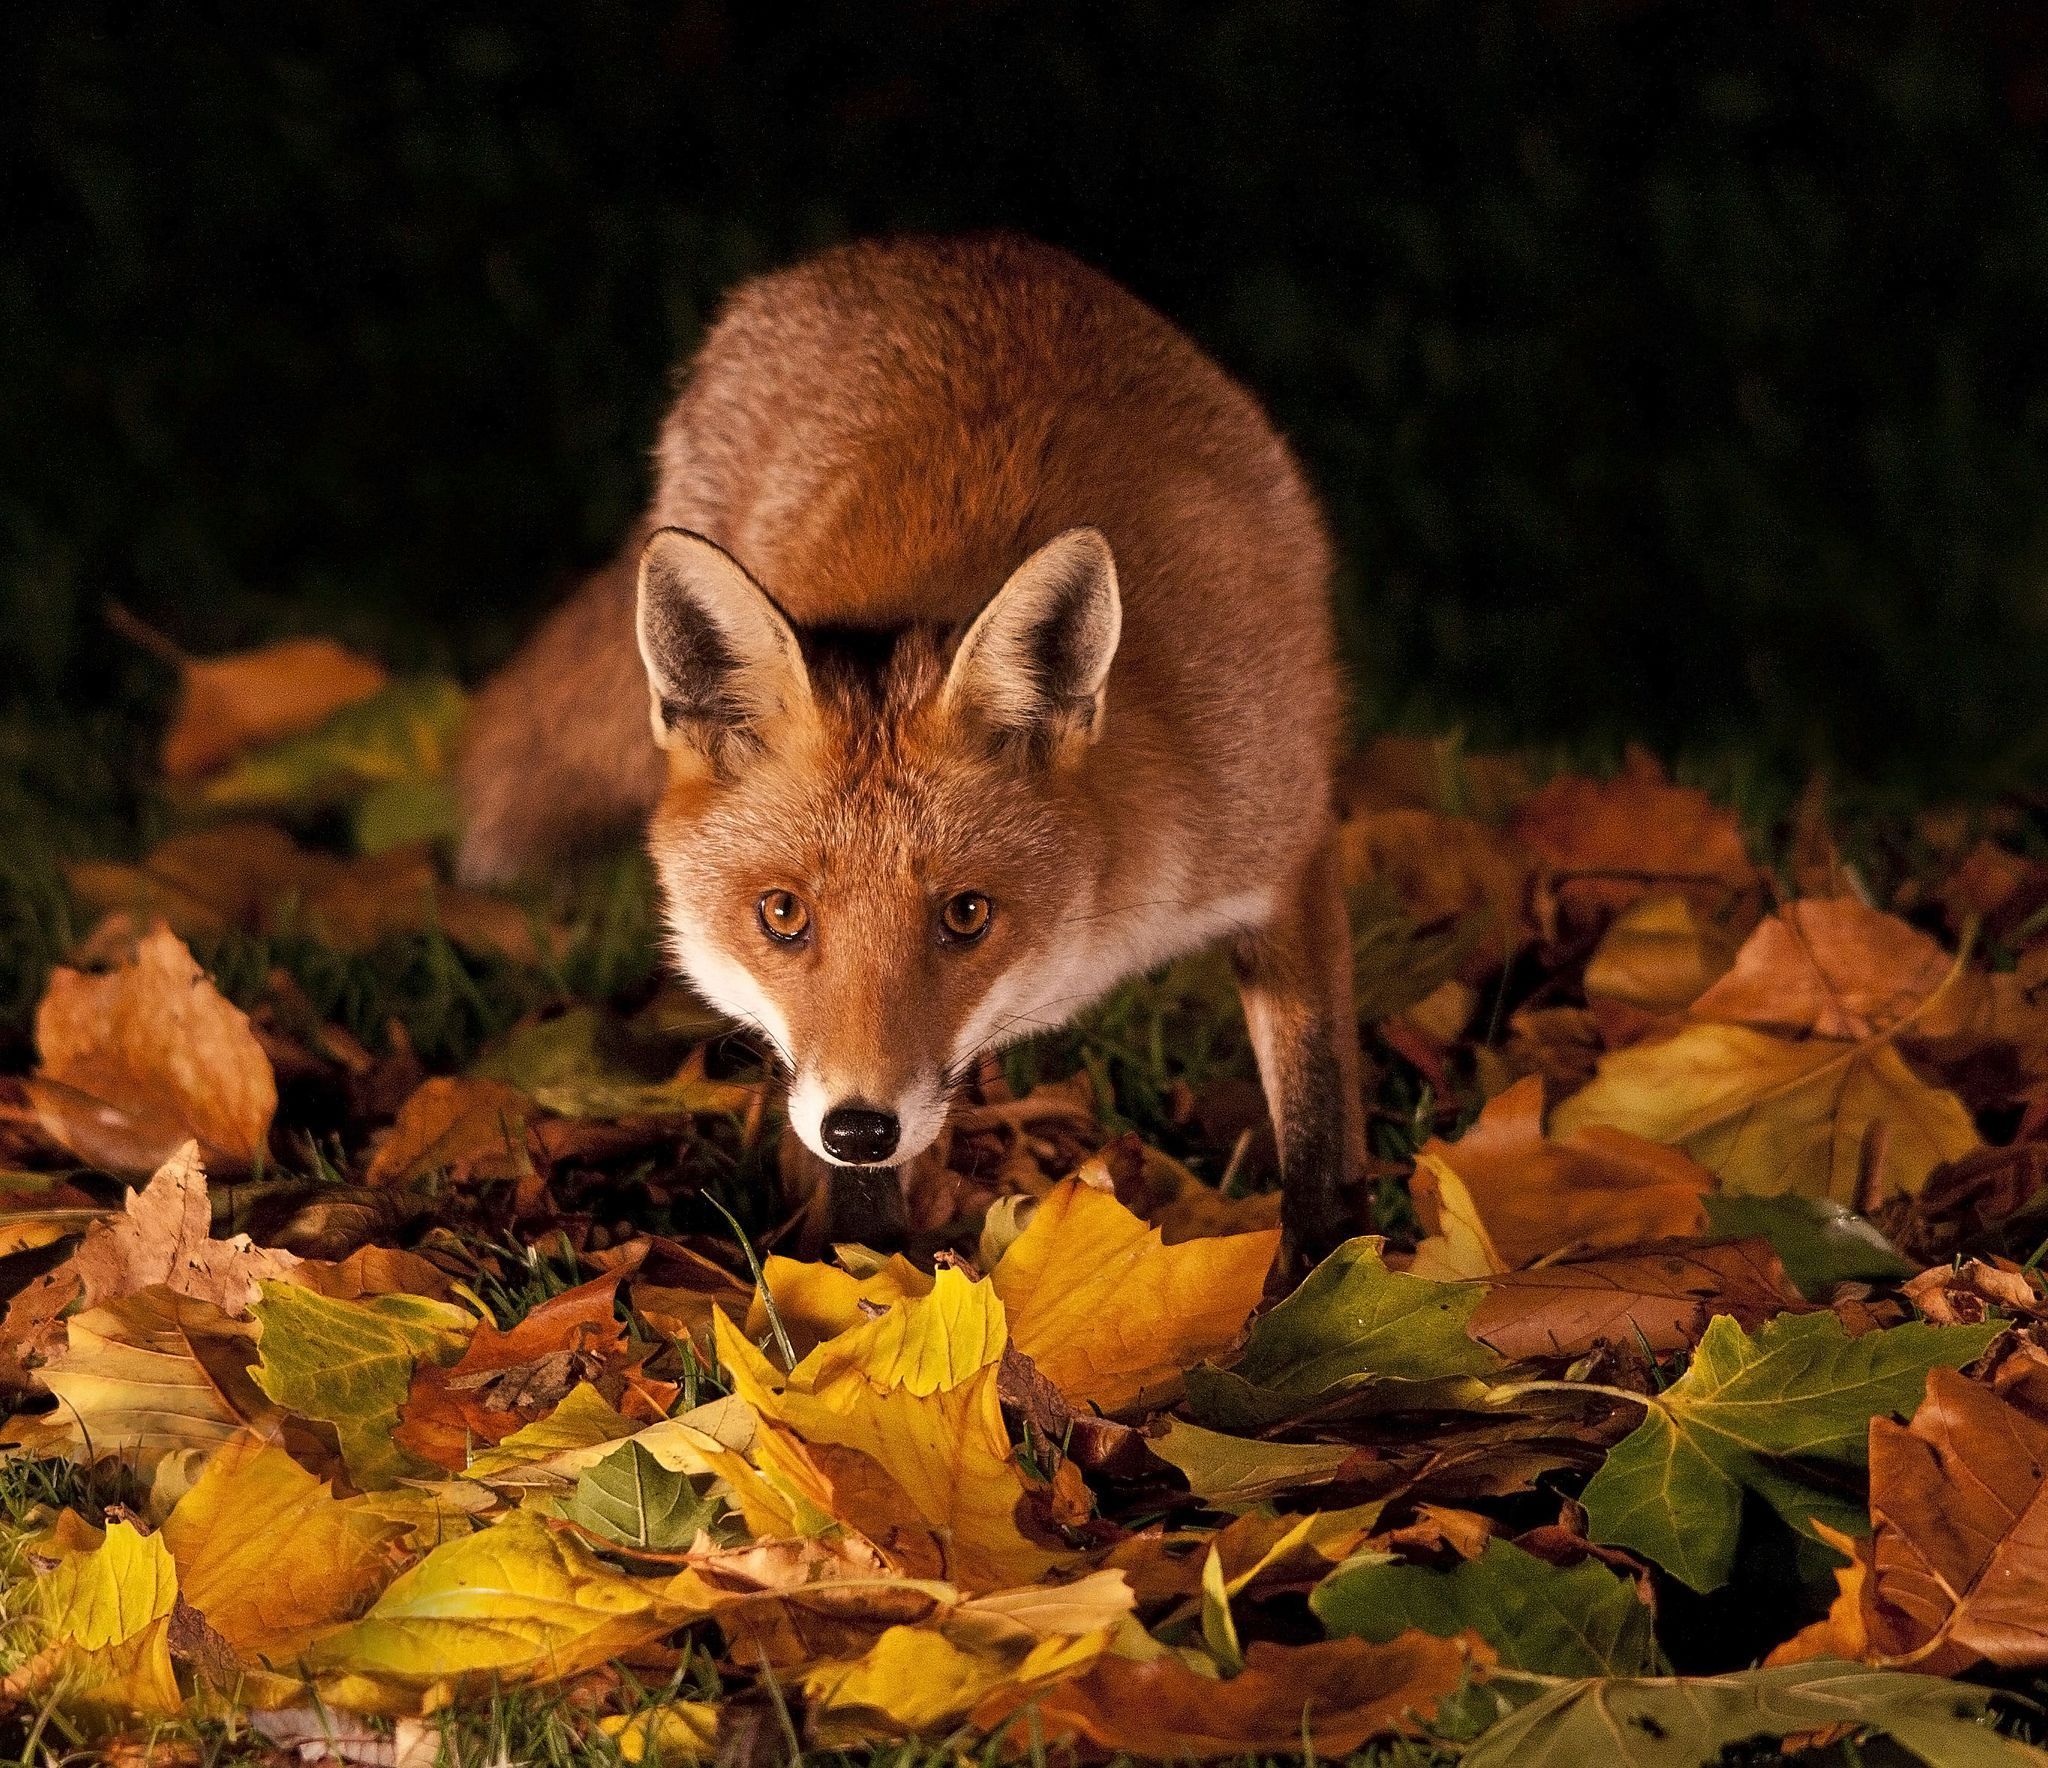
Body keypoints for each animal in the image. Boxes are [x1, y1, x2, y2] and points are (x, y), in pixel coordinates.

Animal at [456, 235, 1368, 1261]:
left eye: (966, 915)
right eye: (781, 914)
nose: (860, 1127)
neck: (1104, 917)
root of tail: (933, 248)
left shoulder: (1285, 840)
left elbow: (1319, 1122)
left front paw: (1327, 1275)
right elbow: (861, 1206)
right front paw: (873, 1279)